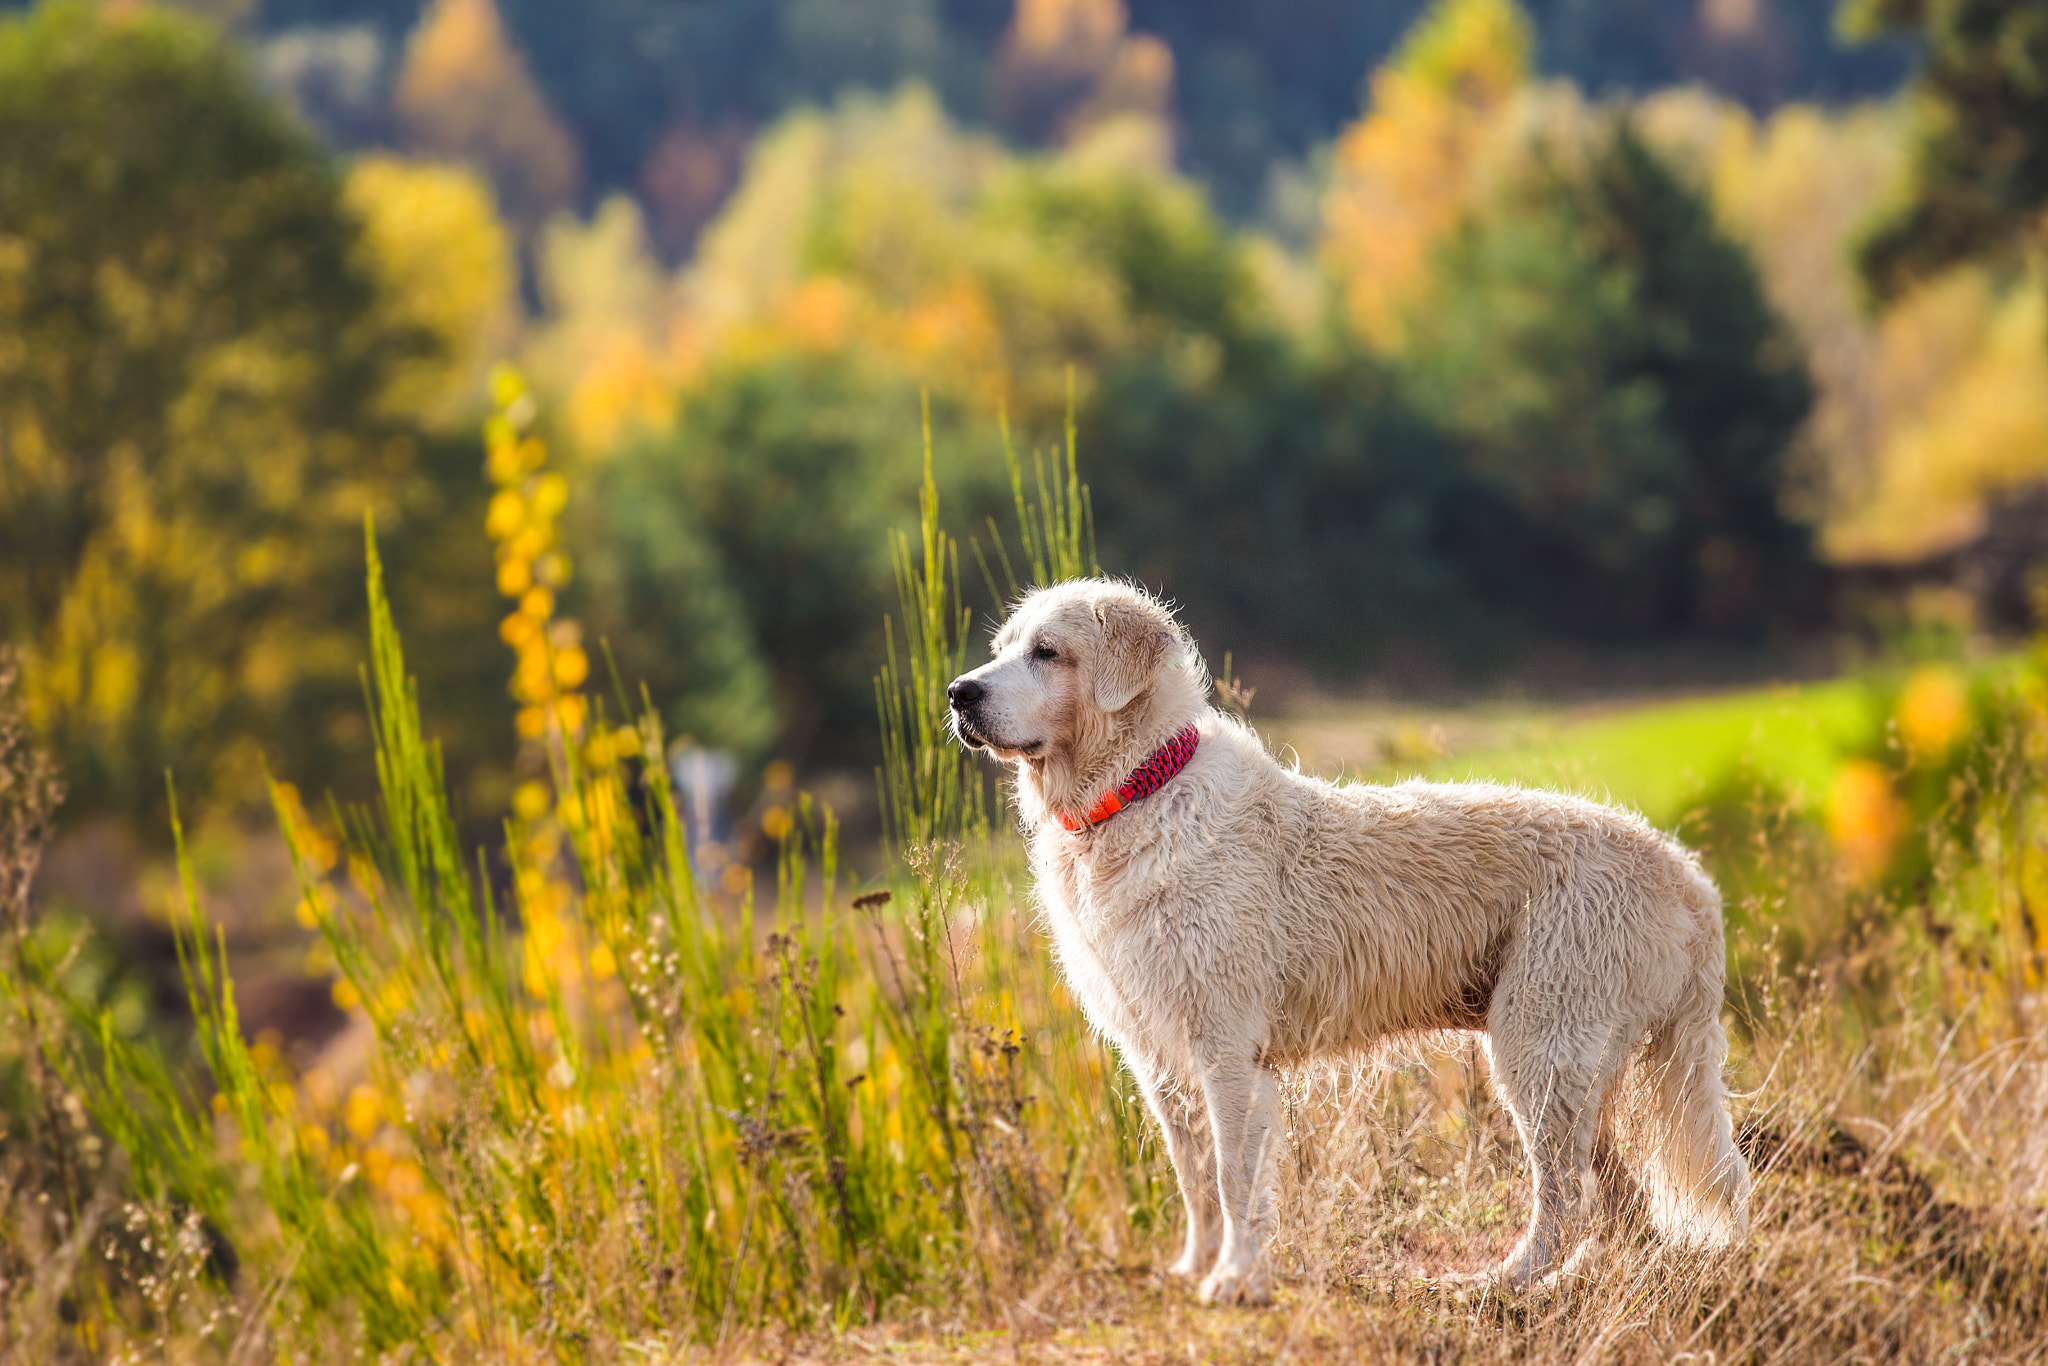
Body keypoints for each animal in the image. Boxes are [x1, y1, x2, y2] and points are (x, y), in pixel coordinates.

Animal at [950, 577, 1753, 1302]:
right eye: (1002, 650)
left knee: (1572, 1199)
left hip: (1540, 1050)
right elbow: (1195, 1181)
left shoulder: (1227, 1049)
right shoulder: (1157, 1056)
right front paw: (1193, 1270)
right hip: (1574, 1068)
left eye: (1048, 652)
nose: (959, 694)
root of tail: (1688, 878)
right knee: (1616, 1207)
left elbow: (1235, 1182)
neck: (1139, 793)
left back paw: (1494, 1284)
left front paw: (1234, 1280)